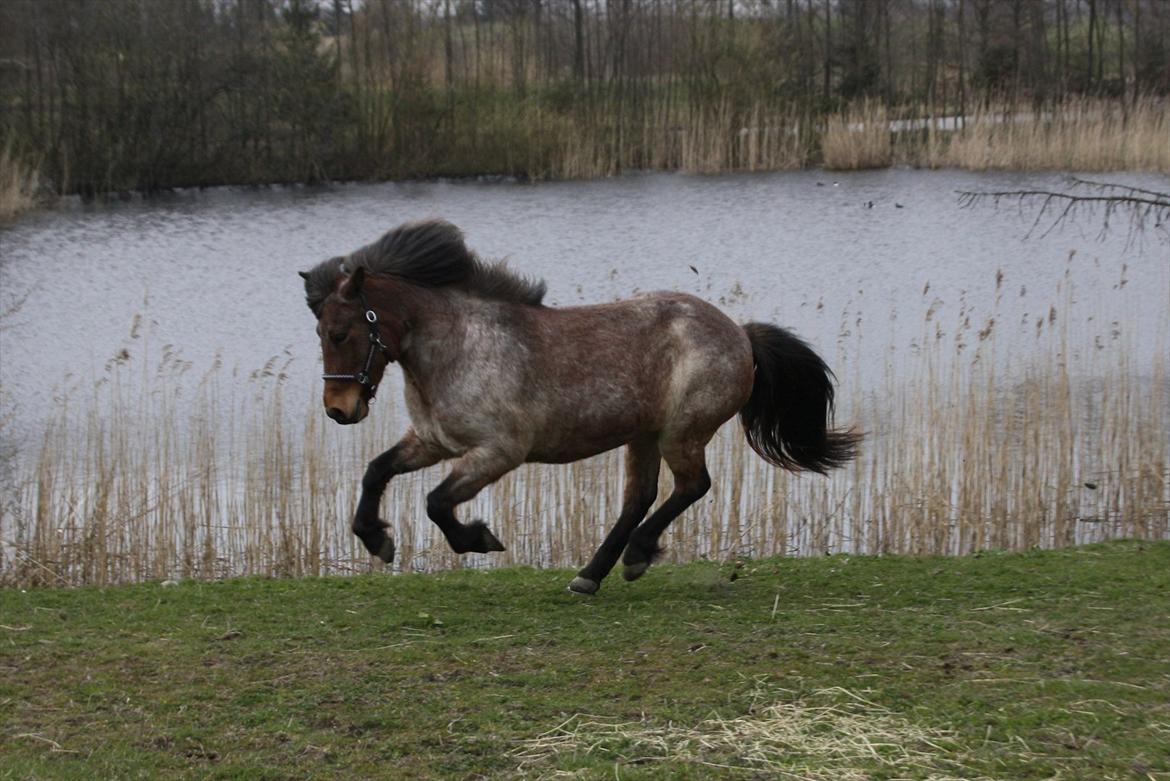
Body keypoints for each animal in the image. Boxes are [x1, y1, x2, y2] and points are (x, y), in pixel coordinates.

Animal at [304, 216, 861, 593]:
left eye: (340, 332)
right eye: (319, 332)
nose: (339, 409)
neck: (459, 347)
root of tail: (740, 335)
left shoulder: (498, 452)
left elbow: (436, 503)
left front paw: (479, 539)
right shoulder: (432, 441)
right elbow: (376, 471)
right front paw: (376, 540)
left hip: (681, 432)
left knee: (691, 487)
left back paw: (634, 556)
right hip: (644, 435)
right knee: (641, 497)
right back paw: (592, 575)